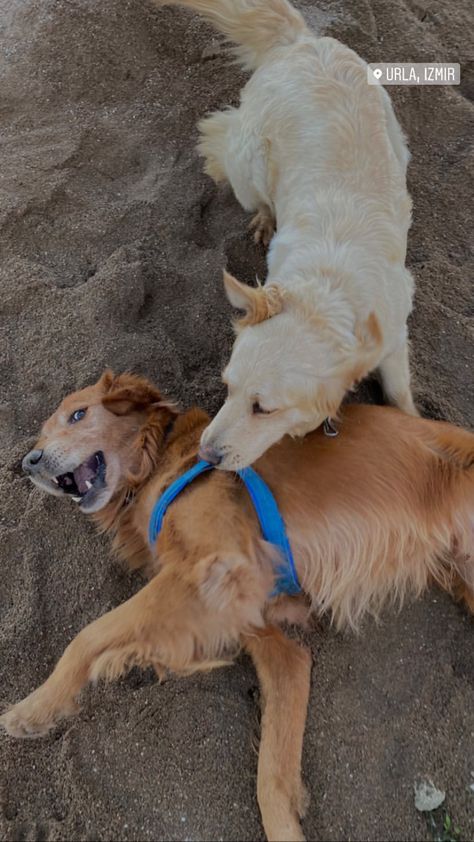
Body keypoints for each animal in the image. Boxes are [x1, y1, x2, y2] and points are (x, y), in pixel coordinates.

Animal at [0, 372, 474, 840]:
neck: (161, 461)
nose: (29, 462)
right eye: (42, 432)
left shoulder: (220, 566)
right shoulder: (264, 632)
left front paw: (34, 708)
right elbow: (273, 775)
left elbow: (90, 634)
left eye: (78, 415)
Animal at [158, 0, 414, 466]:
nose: (206, 454)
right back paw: (261, 214)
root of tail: (303, 42)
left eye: (264, 408)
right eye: (227, 386)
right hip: (250, 162)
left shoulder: (393, 331)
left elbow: (400, 392)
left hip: (394, 131)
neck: (328, 291)